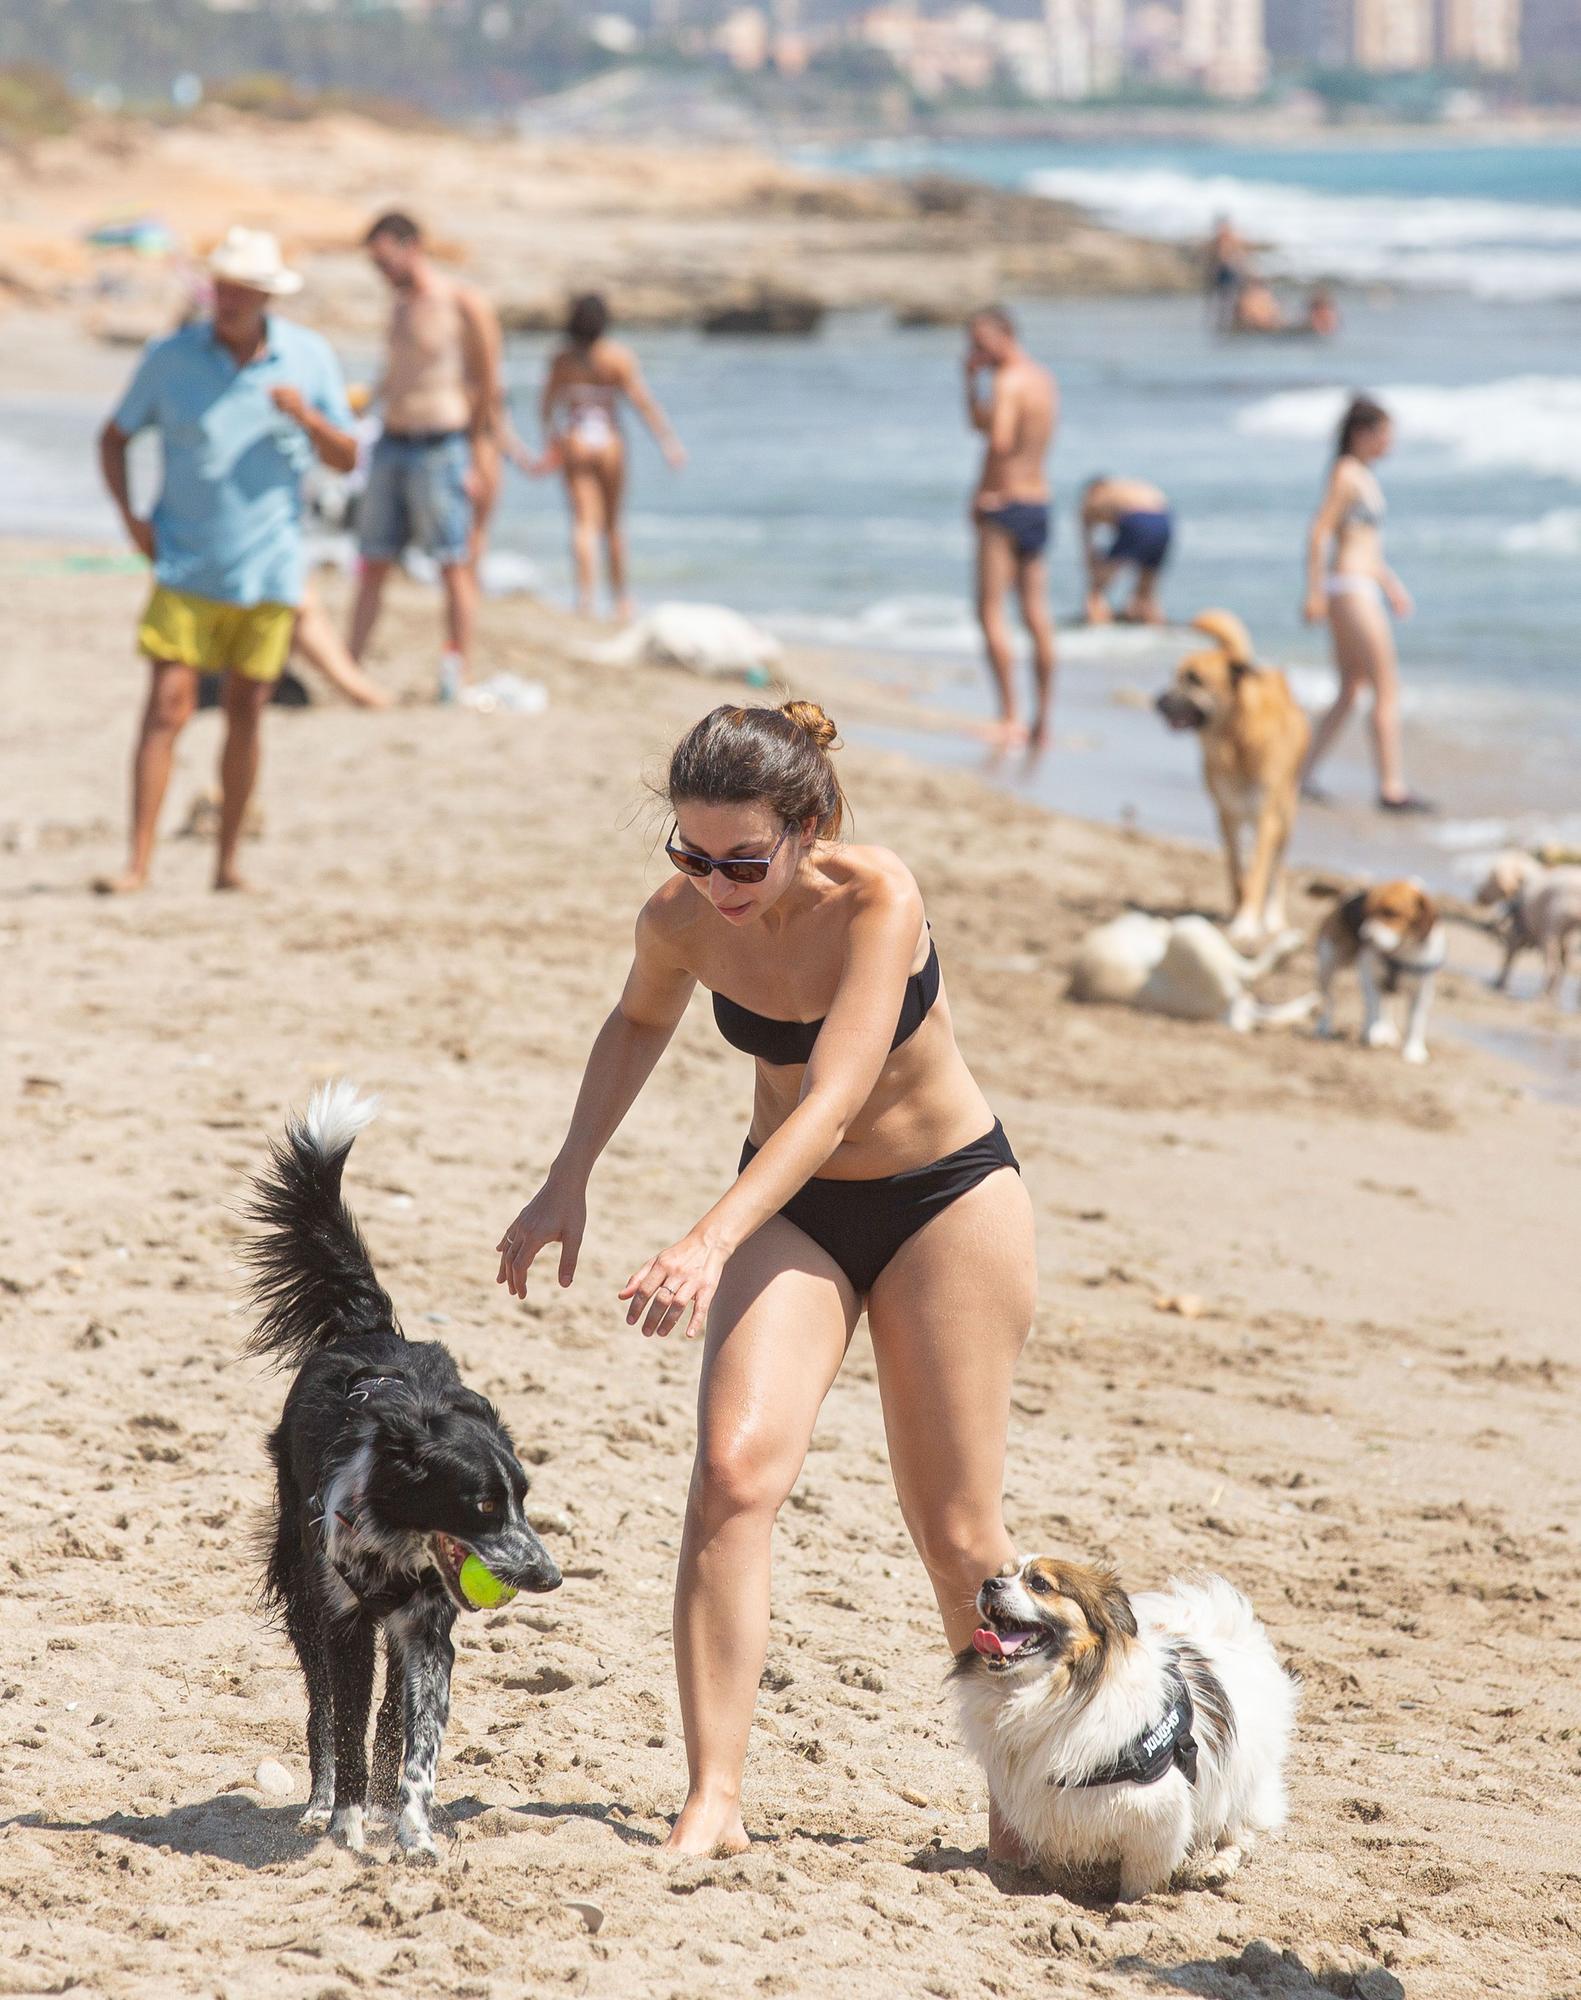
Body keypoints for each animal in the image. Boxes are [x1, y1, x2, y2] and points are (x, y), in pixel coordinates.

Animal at [248, 1080, 564, 1856]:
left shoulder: (425, 1631)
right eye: (482, 1505)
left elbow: (416, 1739)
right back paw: (320, 1804)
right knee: (322, 1710)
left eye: (523, 1498)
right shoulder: (344, 1622)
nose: (549, 1577)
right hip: (302, 1590)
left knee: (389, 1715)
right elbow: (346, 1723)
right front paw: (345, 1829)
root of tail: (369, 1329)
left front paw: (414, 1835)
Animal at [952, 1552, 1296, 1896]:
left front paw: (1136, 1904)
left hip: (1241, 1781)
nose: (989, 1584)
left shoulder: (1155, 1817)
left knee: (1240, 1832)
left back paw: (1216, 1868)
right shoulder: (1046, 1809)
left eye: (1040, 1584)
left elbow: (1140, 1881)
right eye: (1000, 1574)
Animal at [1160, 608, 1312, 944]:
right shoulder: (1225, 814)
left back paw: (1273, 917)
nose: (1157, 702)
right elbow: (1235, 869)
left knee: (1277, 869)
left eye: (1194, 679)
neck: (1235, 744)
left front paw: (1246, 922)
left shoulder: (1266, 819)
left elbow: (1257, 874)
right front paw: (1238, 908)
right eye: (1173, 675)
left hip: (1287, 814)